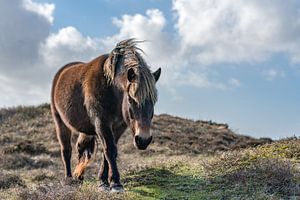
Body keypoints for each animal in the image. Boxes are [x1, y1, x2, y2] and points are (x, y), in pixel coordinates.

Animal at [51, 39, 162, 192]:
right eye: (130, 99)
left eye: (154, 101)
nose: (143, 140)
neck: (111, 89)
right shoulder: (102, 123)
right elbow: (109, 149)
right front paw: (115, 183)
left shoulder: (119, 127)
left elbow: (107, 152)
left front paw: (104, 180)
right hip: (60, 122)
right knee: (66, 150)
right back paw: (69, 178)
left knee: (81, 149)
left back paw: (79, 177)